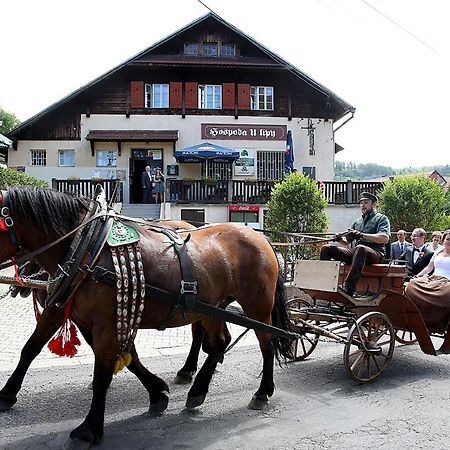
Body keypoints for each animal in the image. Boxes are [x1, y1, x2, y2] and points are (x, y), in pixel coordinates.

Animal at [0, 186, 292, 446]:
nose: (20, 284)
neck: (86, 248)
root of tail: (261, 238)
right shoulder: (64, 309)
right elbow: (31, 348)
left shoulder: (107, 323)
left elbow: (103, 372)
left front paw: (89, 429)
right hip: (211, 306)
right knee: (220, 342)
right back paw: (197, 389)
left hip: (257, 306)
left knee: (267, 344)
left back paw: (262, 392)